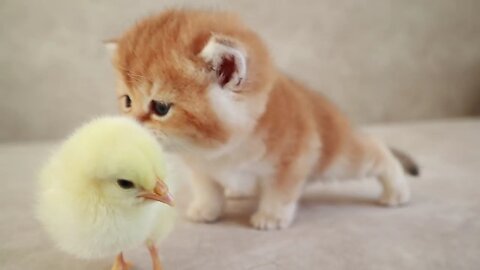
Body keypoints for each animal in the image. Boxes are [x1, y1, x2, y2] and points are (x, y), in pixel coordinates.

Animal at [107, 8, 418, 230]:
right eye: (127, 101)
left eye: (160, 107)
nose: (129, 127)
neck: (224, 150)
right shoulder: (200, 166)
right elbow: (208, 188)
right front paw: (207, 209)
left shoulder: (295, 156)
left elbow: (280, 191)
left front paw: (271, 216)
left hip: (339, 156)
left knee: (378, 151)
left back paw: (396, 190)